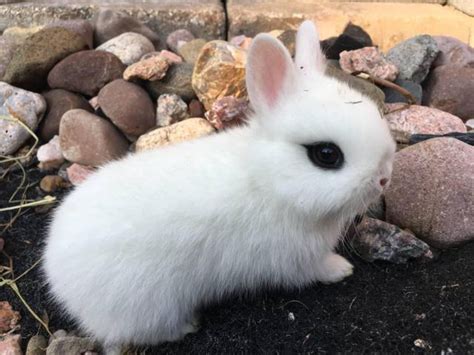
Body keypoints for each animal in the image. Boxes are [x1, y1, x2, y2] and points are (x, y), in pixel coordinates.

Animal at [42, 20, 394, 354]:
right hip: (149, 306)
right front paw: (342, 269)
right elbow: (315, 271)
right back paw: (188, 326)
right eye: (326, 155)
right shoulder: (294, 261)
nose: (384, 177)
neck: (266, 180)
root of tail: (56, 273)